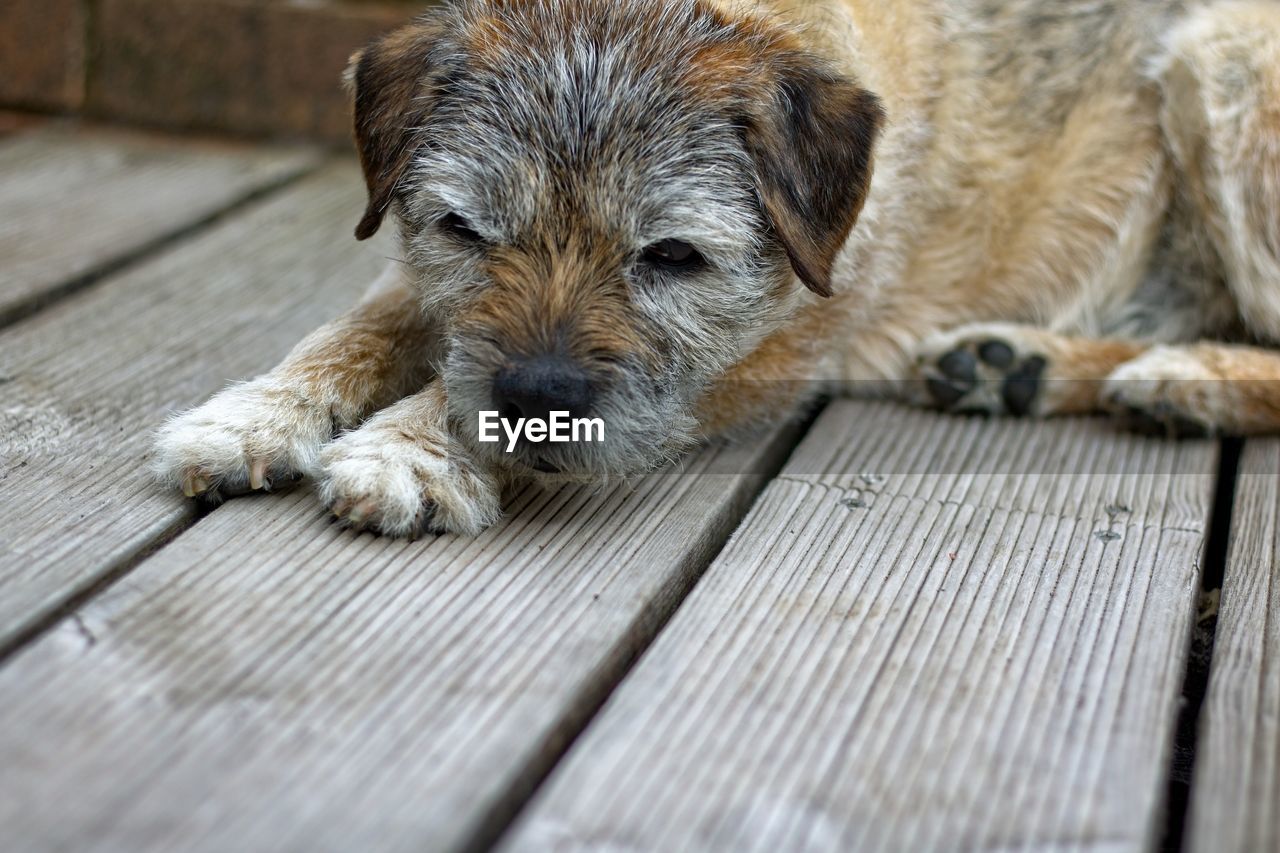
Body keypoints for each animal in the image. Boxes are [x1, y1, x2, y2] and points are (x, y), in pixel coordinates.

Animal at [154, 0, 1280, 532]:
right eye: (465, 232)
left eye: (673, 256)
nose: (539, 395)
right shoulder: (430, 288)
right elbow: (360, 326)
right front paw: (253, 413)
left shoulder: (766, 347)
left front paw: (411, 447)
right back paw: (1018, 364)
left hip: (1221, 61)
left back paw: (1186, 379)